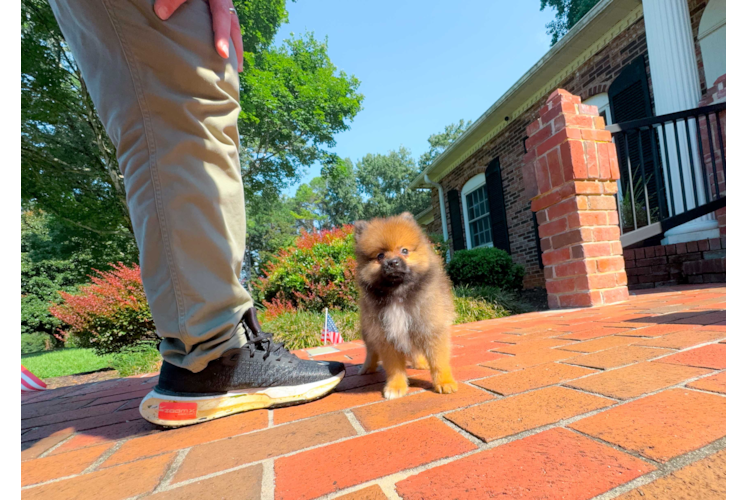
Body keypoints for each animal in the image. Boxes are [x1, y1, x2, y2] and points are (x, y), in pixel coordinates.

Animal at [356, 213, 458, 400]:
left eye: (404, 251)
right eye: (380, 256)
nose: (392, 262)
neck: (399, 295)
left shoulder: (430, 328)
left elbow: (438, 361)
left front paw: (444, 382)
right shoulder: (387, 334)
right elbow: (394, 367)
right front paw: (396, 386)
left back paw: (421, 363)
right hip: (369, 330)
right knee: (371, 351)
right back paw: (367, 367)